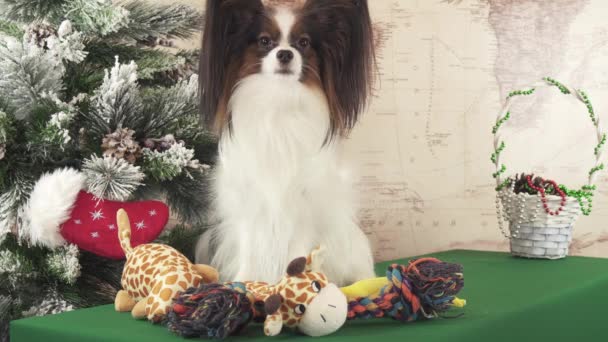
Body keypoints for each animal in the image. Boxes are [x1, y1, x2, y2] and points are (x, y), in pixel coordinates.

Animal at [196, 0, 376, 286]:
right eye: (264, 41)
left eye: (303, 42)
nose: (285, 54)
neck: (279, 100)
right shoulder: (250, 202)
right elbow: (250, 249)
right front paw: (242, 284)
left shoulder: (303, 205)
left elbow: (298, 252)